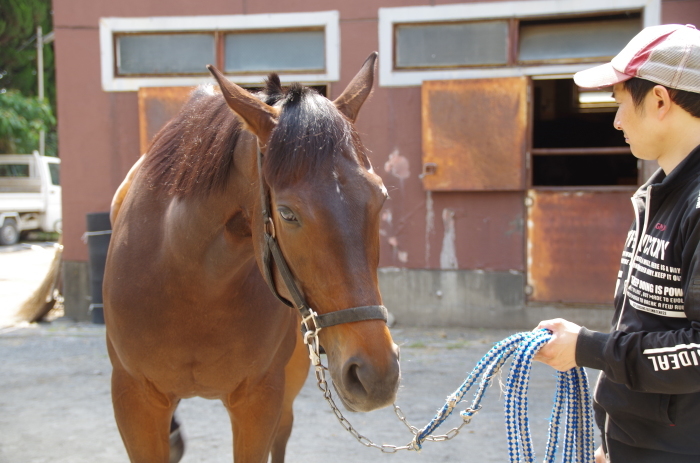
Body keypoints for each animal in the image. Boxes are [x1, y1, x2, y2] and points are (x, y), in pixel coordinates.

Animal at [102, 52, 402, 462]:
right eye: (288, 213)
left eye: (381, 197)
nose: (377, 375)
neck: (189, 282)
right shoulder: (134, 400)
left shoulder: (260, 400)